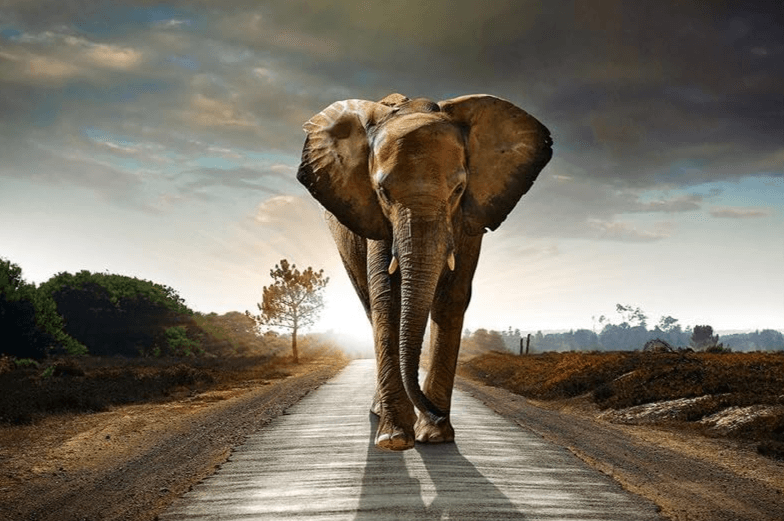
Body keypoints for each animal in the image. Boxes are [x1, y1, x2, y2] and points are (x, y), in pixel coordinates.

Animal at [297, 93, 552, 450]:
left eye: (458, 189)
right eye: (382, 192)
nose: (435, 414)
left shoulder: (470, 216)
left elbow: (452, 298)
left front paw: (435, 436)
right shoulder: (375, 217)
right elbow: (388, 298)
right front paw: (395, 439)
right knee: (369, 303)